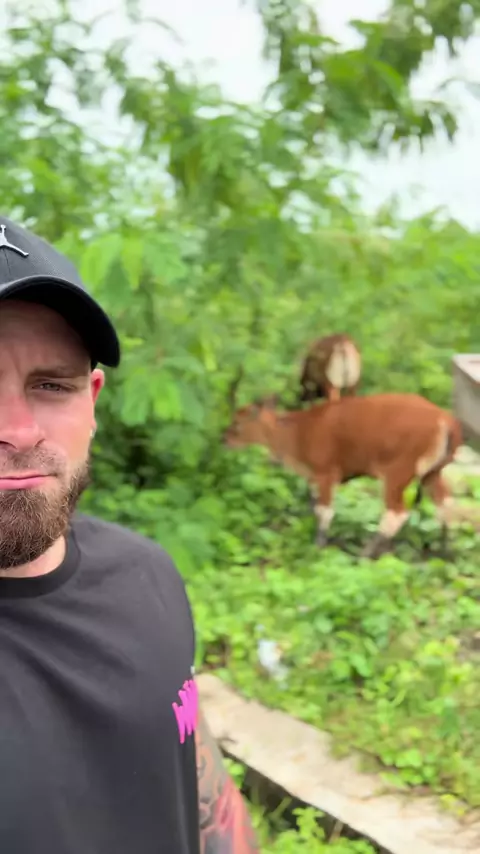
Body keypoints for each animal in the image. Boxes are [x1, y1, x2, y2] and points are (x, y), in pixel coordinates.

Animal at [223, 393, 462, 559]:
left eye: (237, 422)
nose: (223, 438)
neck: (298, 433)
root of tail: (445, 421)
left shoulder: (327, 473)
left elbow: (325, 511)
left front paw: (319, 546)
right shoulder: (316, 477)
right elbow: (315, 506)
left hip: (398, 471)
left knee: (397, 512)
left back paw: (365, 554)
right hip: (432, 472)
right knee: (445, 502)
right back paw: (445, 552)